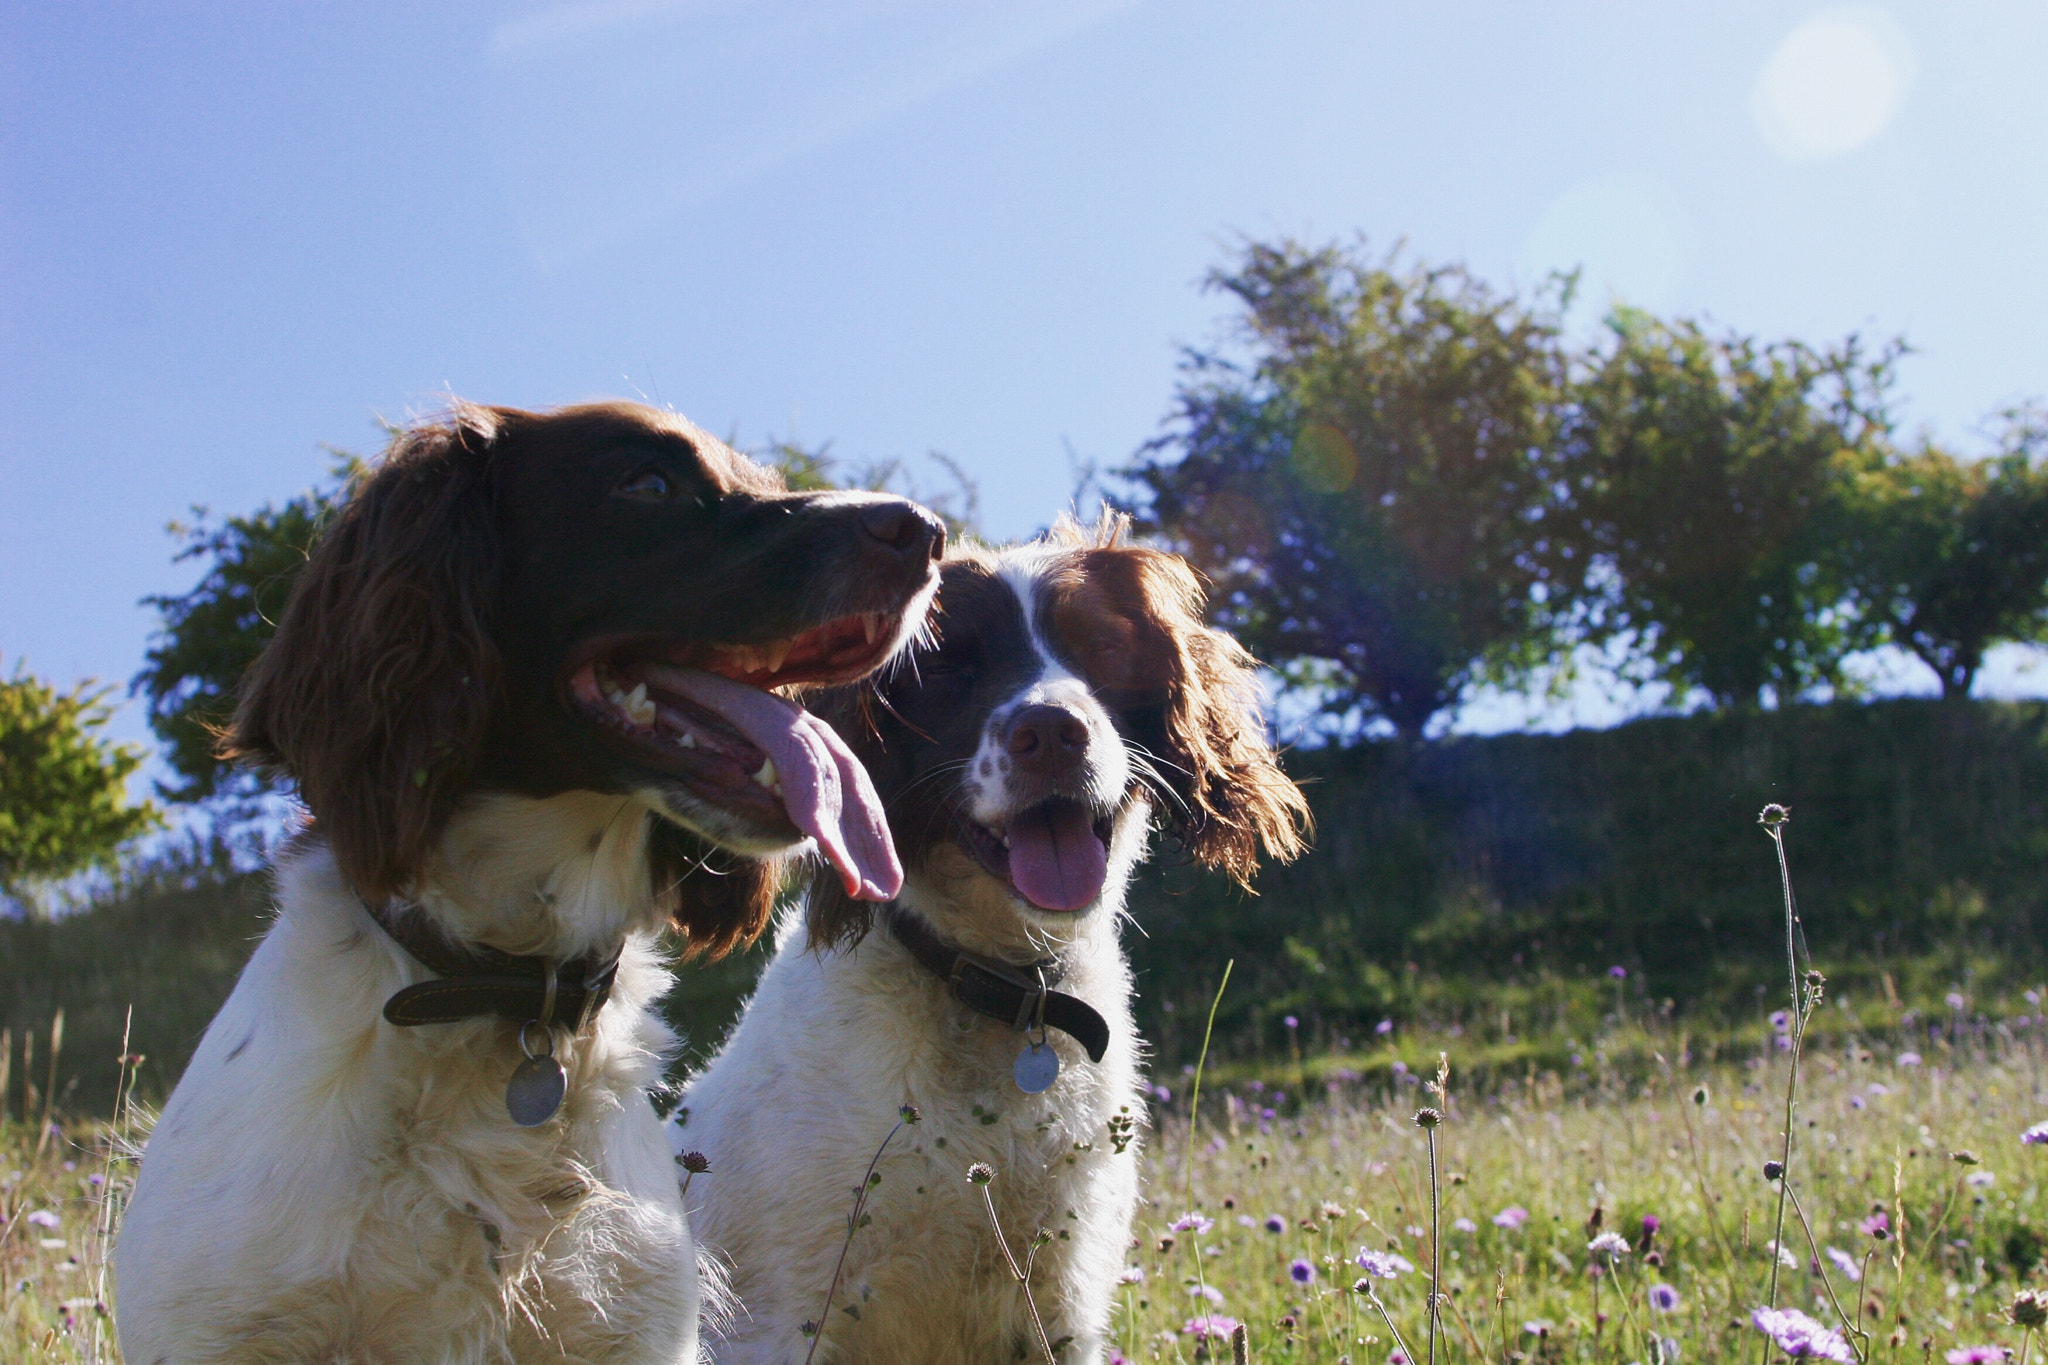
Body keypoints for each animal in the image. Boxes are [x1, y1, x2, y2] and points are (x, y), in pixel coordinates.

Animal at [671, 515, 1310, 1365]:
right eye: (947, 663)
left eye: (1099, 646)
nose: (1053, 732)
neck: (1007, 989)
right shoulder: (778, 1318)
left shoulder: (1061, 1307)